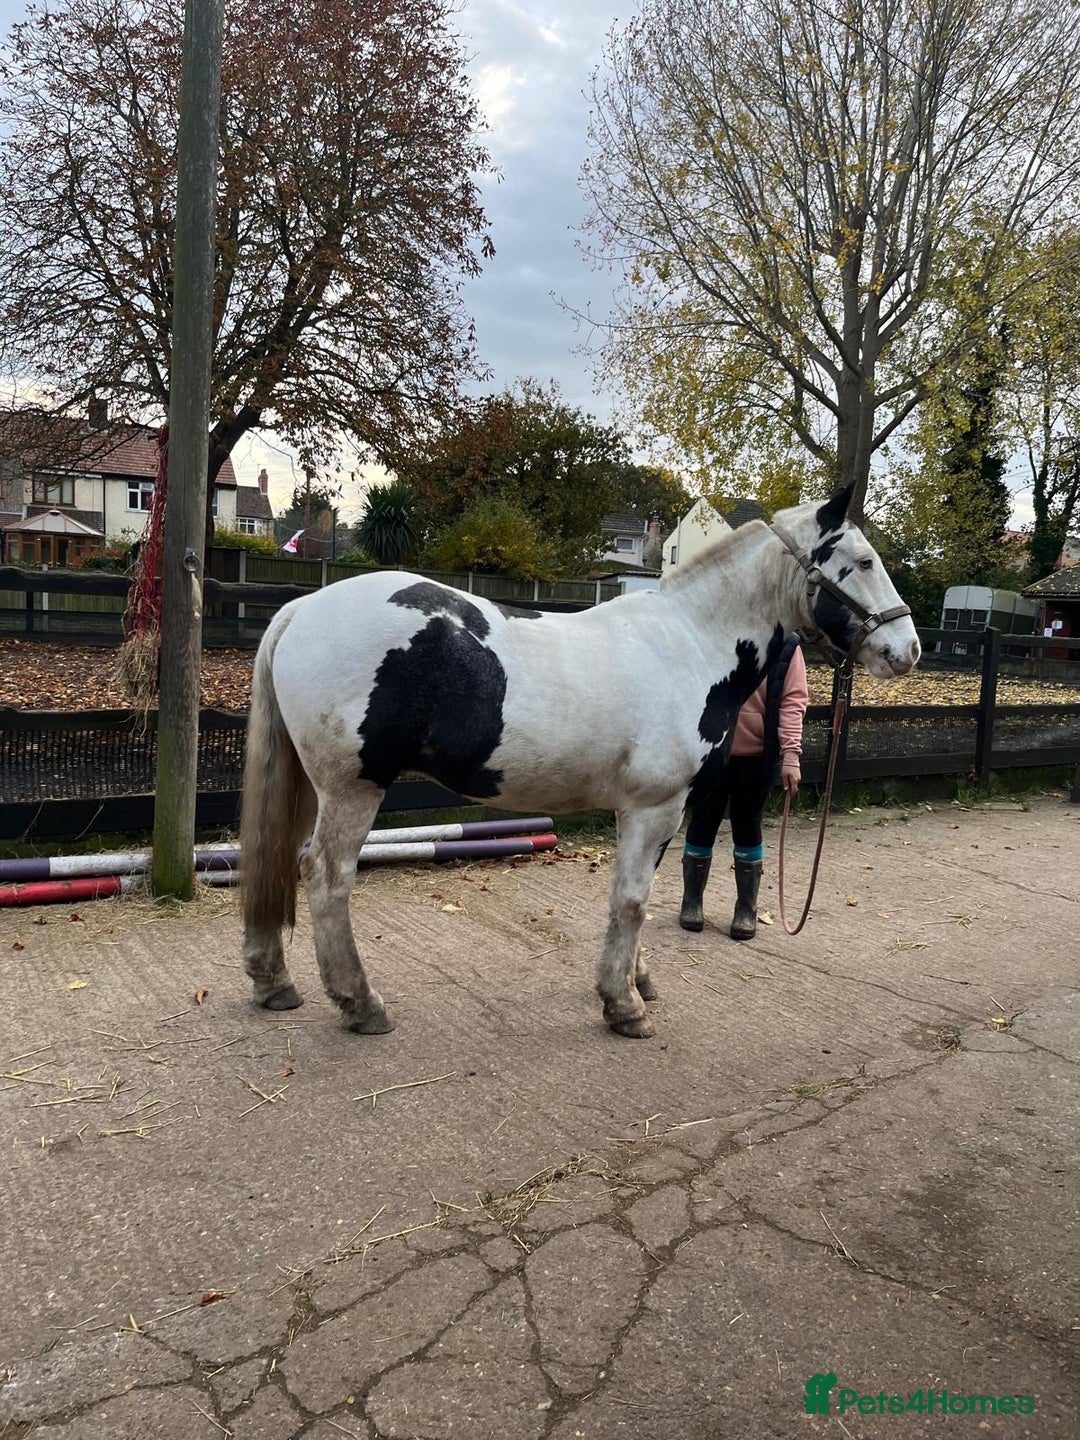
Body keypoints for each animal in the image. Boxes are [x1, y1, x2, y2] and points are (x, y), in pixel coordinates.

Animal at [239, 483, 919, 1039]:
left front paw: (638, 982)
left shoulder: (662, 810)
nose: (907, 648)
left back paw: (275, 983)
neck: (690, 642)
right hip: (353, 789)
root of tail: (301, 610)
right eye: (863, 561)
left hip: (313, 787)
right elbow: (632, 901)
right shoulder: (652, 807)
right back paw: (361, 1003)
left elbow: (639, 895)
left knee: (279, 861)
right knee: (326, 876)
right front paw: (623, 1007)